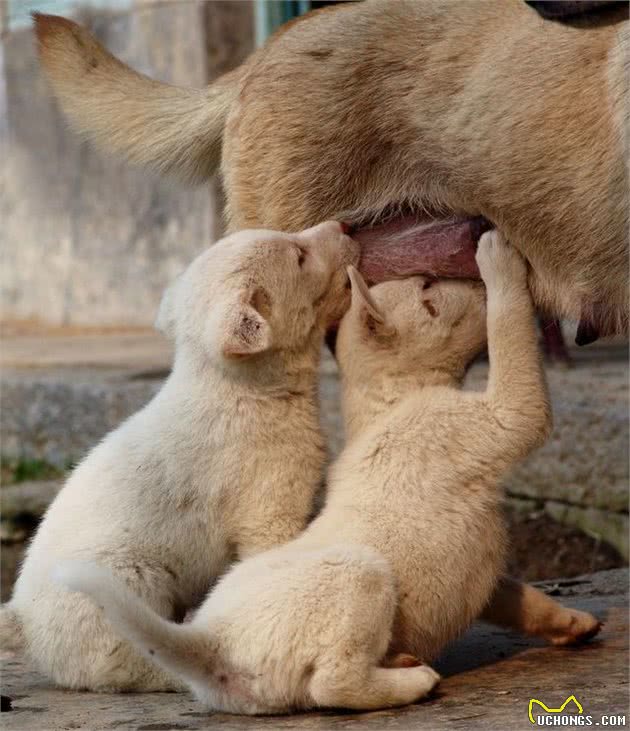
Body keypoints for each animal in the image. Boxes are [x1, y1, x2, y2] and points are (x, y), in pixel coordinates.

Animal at [32, 2, 608, 656]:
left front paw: (569, 623)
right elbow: (517, 379)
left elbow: (507, 590)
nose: (345, 229)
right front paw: (501, 262)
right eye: (429, 291)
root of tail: (261, 57)